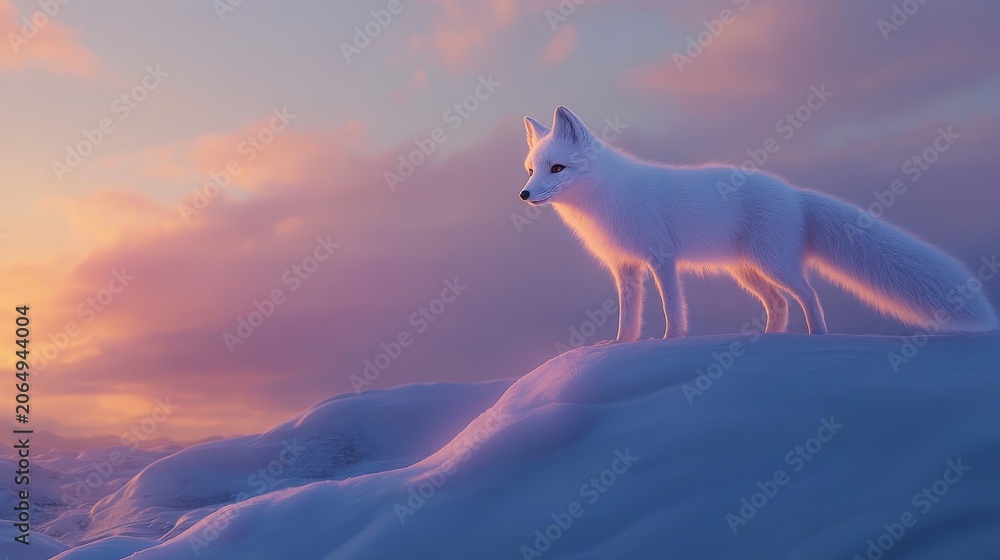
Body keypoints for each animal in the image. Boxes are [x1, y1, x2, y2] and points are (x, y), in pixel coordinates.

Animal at [519, 106, 999, 341]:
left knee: (807, 294)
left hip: (773, 264)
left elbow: (672, 308)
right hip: (746, 272)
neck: (607, 198)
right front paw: (621, 347)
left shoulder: (662, 258)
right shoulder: (626, 268)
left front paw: (670, 341)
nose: (523, 195)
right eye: (530, 169)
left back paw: (818, 338)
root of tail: (795, 195)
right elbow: (628, 318)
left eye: (557, 168)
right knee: (780, 304)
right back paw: (771, 341)